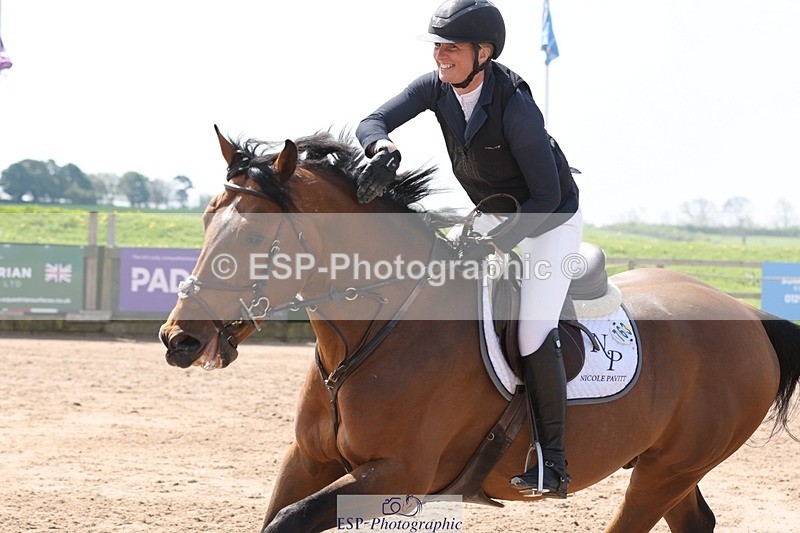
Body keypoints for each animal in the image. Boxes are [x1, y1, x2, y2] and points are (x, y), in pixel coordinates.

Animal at [159, 127, 800, 533]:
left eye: (251, 237)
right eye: (206, 220)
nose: (180, 340)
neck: (374, 330)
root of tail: (748, 316)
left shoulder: (399, 472)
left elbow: (288, 522)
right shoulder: (309, 459)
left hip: (668, 471)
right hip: (666, 467)